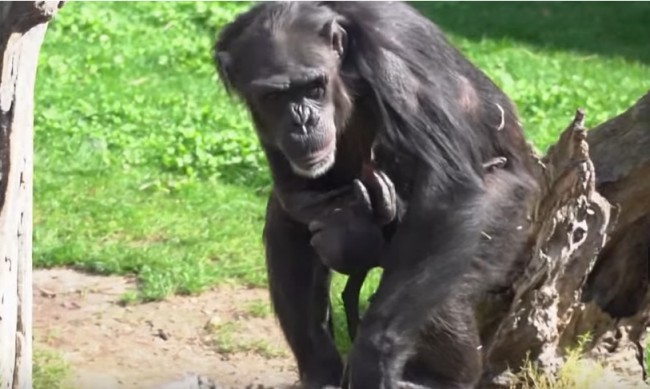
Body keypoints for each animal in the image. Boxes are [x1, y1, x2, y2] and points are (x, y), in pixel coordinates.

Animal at [213, 1, 536, 386]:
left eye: (314, 87)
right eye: (275, 96)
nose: (302, 120)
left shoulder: (389, 60)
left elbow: (447, 188)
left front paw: (374, 358)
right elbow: (299, 196)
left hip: (514, 204)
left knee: (447, 288)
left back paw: (440, 378)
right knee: (286, 224)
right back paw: (321, 369)